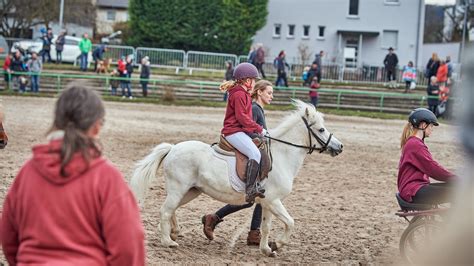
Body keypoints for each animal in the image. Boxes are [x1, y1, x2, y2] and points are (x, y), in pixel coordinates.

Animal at [131, 99, 342, 256]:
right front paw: (277, 244)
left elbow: (266, 226)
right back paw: (168, 242)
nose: (339, 147)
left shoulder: (268, 203)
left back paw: (174, 233)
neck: (282, 155)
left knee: (171, 209)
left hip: (191, 191)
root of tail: (173, 148)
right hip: (178, 189)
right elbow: (290, 222)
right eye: (321, 130)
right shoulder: (274, 201)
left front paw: (267, 249)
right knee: (165, 210)